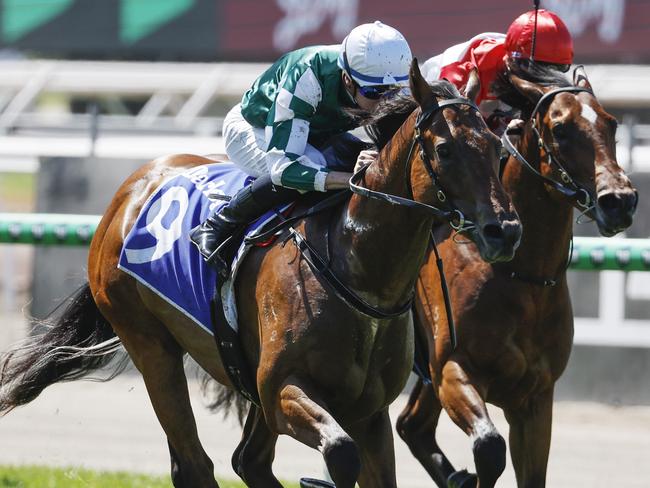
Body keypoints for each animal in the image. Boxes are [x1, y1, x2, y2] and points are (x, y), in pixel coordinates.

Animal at [0, 62, 516, 488]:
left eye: (497, 145)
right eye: (445, 149)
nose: (505, 230)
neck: (358, 269)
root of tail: (130, 190)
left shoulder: (368, 410)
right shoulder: (283, 389)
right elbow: (340, 453)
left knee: (246, 462)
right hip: (149, 342)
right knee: (195, 464)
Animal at [398, 66, 636, 488]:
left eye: (610, 123)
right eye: (560, 128)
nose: (619, 201)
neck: (523, 275)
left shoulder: (536, 399)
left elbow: (533, 472)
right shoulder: (452, 371)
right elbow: (489, 447)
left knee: (412, 426)